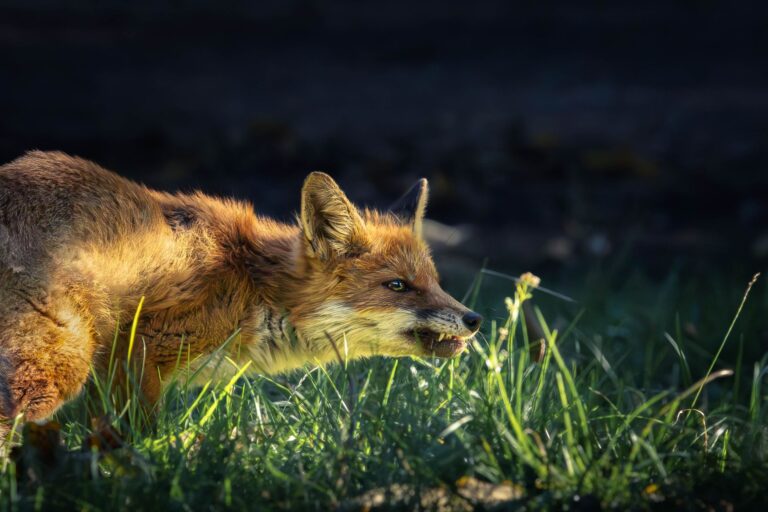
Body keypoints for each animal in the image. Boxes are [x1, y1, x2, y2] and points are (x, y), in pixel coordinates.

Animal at [0, 151, 484, 438]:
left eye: (436, 282)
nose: (475, 319)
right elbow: (137, 438)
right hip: (57, 363)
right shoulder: (139, 351)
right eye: (398, 286)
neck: (249, 282)